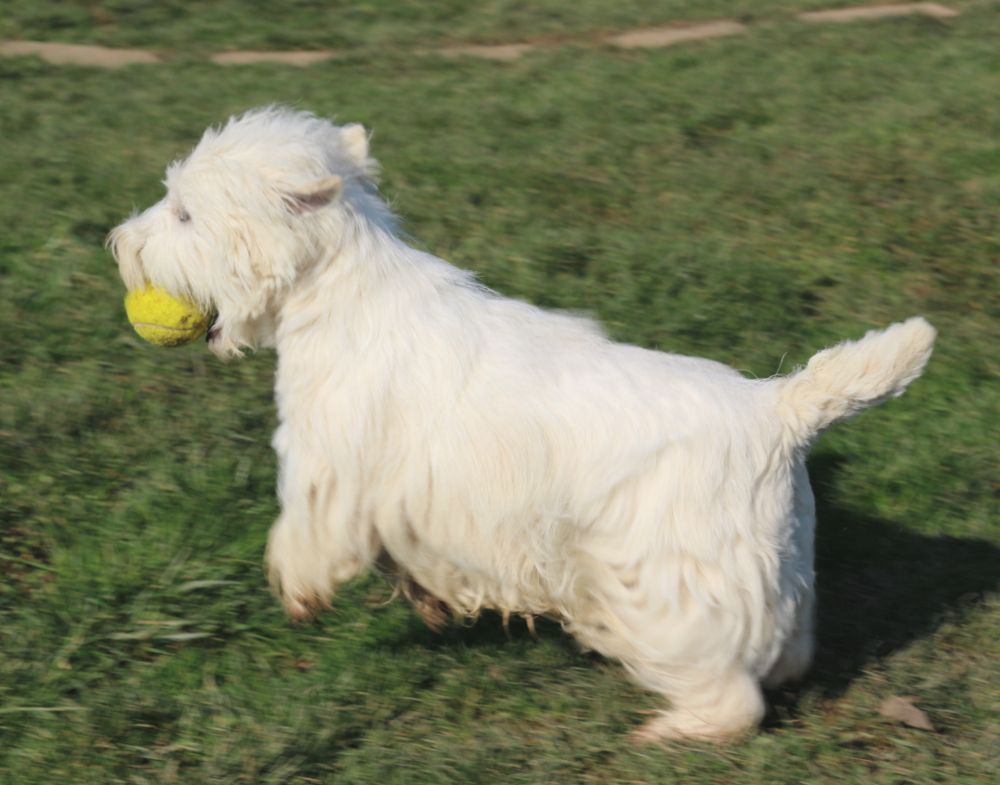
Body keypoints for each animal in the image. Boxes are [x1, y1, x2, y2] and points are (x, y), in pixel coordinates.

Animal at [111, 107, 936, 740]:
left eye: (184, 213)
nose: (118, 240)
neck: (341, 293)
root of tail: (779, 407)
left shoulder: (332, 464)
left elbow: (306, 532)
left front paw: (297, 587)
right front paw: (426, 599)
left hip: (665, 587)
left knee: (729, 692)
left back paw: (671, 730)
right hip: (778, 560)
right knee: (788, 643)